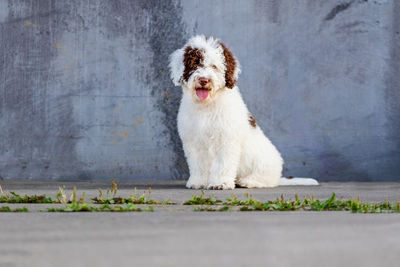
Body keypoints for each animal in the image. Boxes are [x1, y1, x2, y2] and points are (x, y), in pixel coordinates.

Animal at [167, 35, 318, 191]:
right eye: (195, 64)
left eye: (214, 66)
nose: (204, 80)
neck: (207, 105)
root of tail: (278, 177)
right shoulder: (192, 141)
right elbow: (198, 164)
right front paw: (198, 182)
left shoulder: (226, 139)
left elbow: (222, 163)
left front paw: (220, 183)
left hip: (263, 163)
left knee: (266, 180)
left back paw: (247, 181)